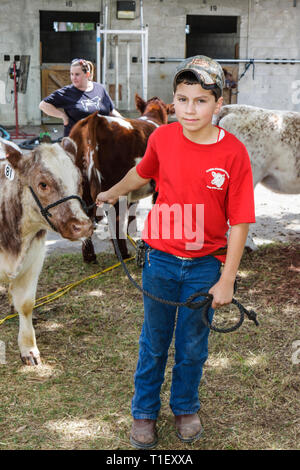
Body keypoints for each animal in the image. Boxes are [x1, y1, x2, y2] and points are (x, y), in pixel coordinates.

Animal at [0, 138, 92, 366]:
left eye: (79, 180)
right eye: (43, 184)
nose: (83, 226)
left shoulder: (34, 259)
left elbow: (26, 304)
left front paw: (29, 349)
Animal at [70, 92, 173, 260]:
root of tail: (96, 119)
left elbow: (133, 209)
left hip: (83, 188)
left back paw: (89, 256)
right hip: (114, 190)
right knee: (116, 221)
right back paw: (123, 254)